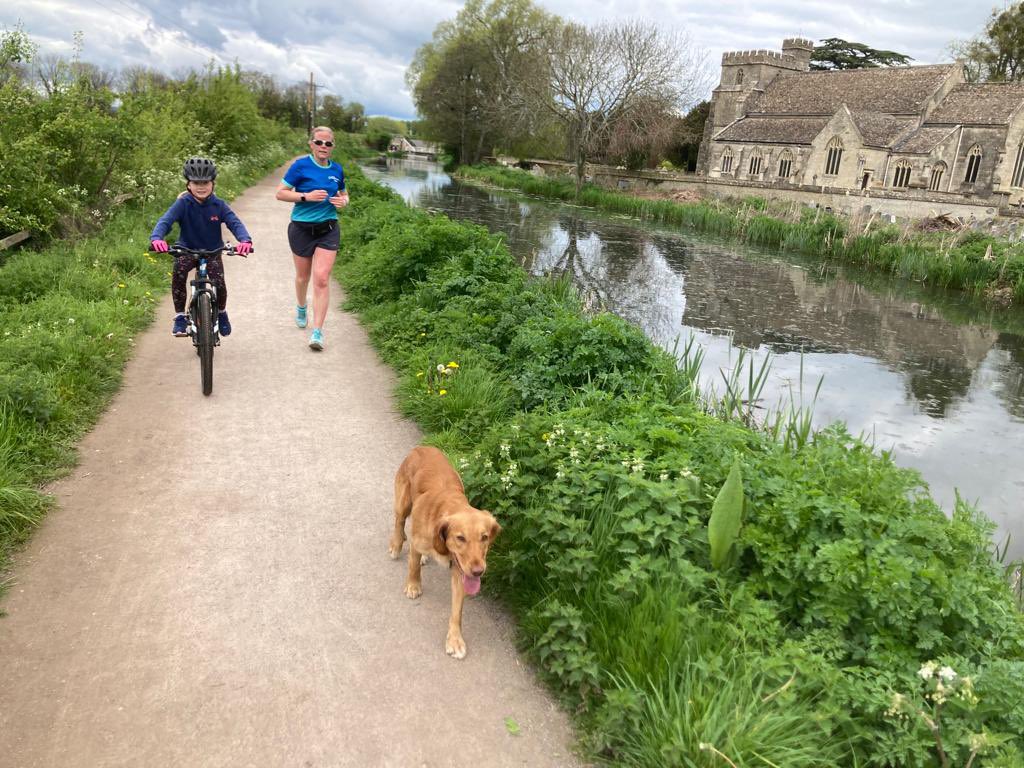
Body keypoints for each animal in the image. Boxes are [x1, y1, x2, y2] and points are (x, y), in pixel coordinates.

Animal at [387, 448, 499, 659]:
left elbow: (457, 611)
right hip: (403, 502)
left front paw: (455, 640)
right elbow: (413, 567)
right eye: (460, 538)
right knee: (399, 521)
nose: (478, 571)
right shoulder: (418, 543)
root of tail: (422, 447)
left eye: (484, 537)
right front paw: (413, 586)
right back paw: (396, 544)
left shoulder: (460, 572)